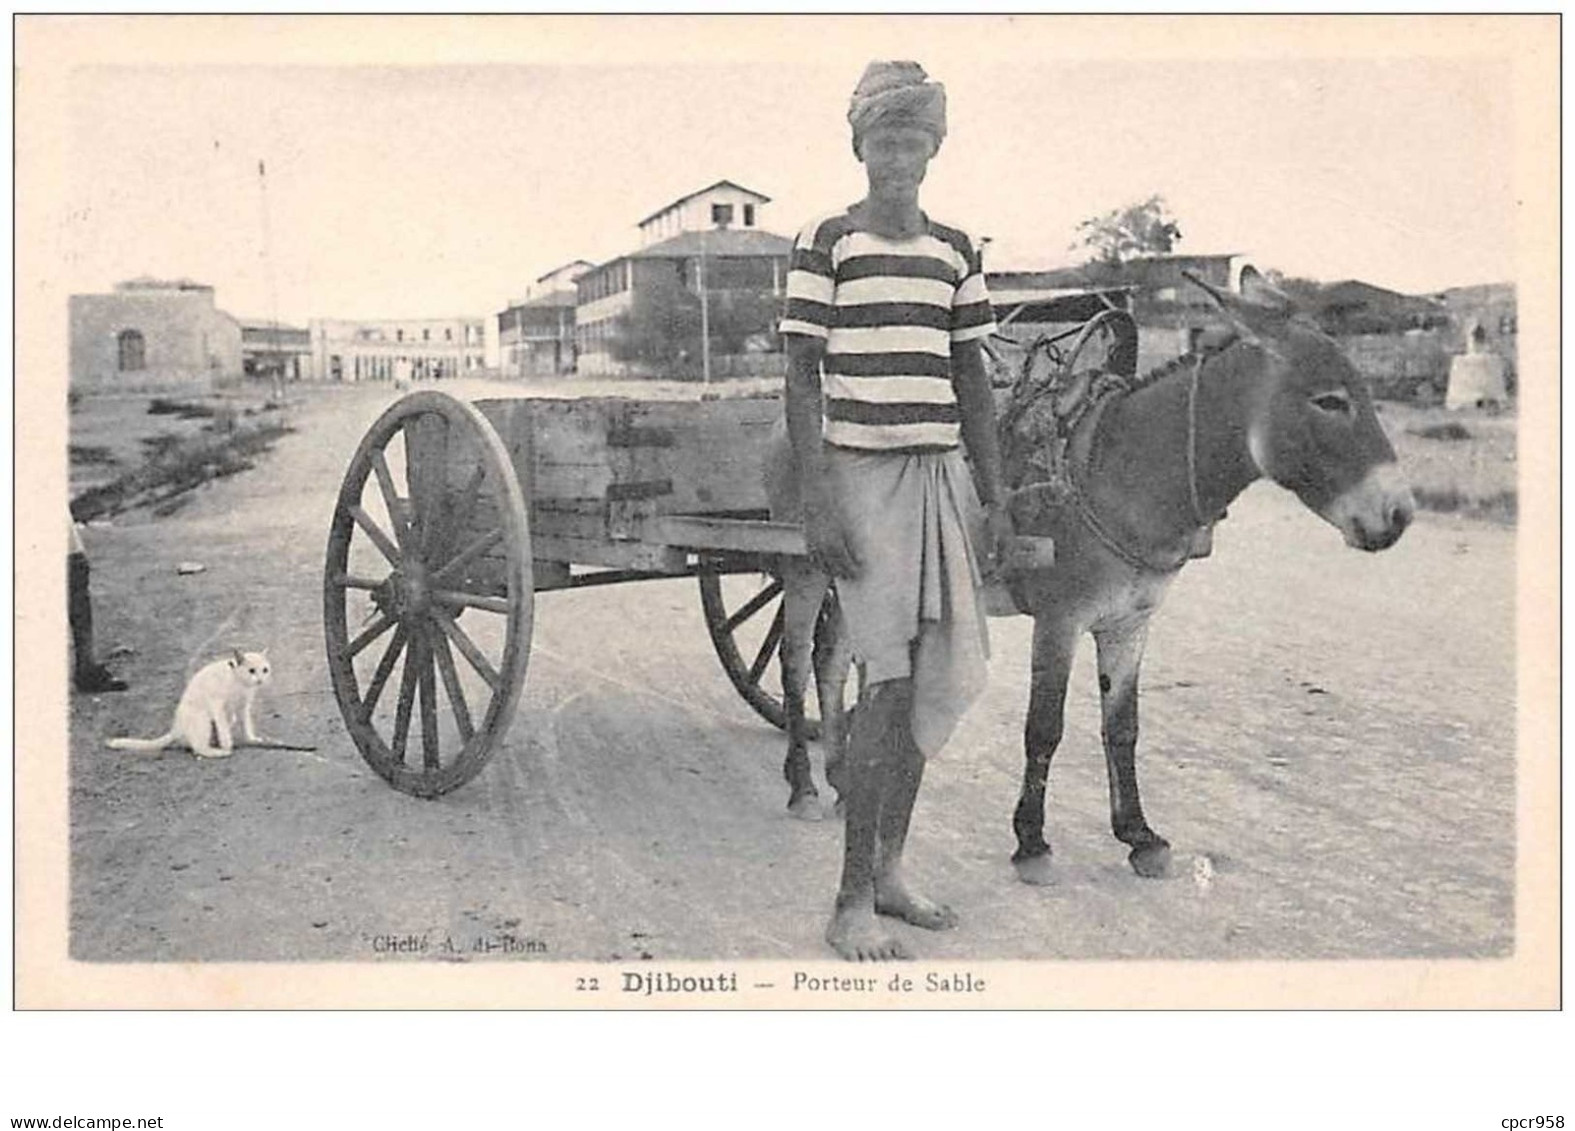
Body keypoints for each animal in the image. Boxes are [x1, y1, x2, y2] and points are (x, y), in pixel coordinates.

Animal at [104, 645, 274, 762]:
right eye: (251, 671)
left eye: (265, 670)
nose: (260, 680)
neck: (240, 685)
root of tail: (176, 727)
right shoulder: (217, 705)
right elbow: (224, 730)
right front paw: (227, 744)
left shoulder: (243, 707)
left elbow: (247, 725)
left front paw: (252, 739)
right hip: (203, 718)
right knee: (198, 747)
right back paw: (218, 751)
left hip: (225, 718)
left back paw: (215, 743)